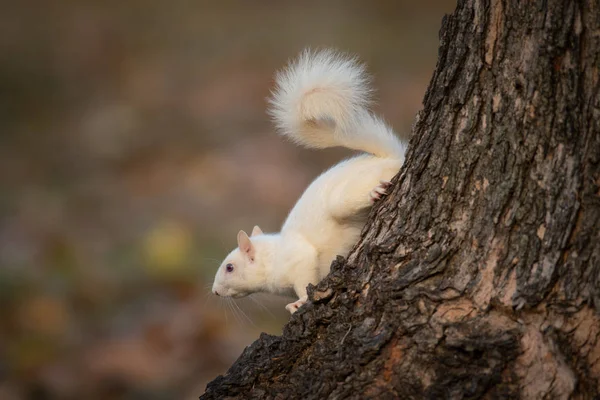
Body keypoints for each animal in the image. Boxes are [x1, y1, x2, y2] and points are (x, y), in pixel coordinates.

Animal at [212, 49, 408, 312]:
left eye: (230, 267)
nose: (214, 291)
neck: (272, 258)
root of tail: (393, 157)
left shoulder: (297, 259)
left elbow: (305, 277)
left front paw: (300, 302)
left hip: (344, 198)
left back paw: (374, 192)